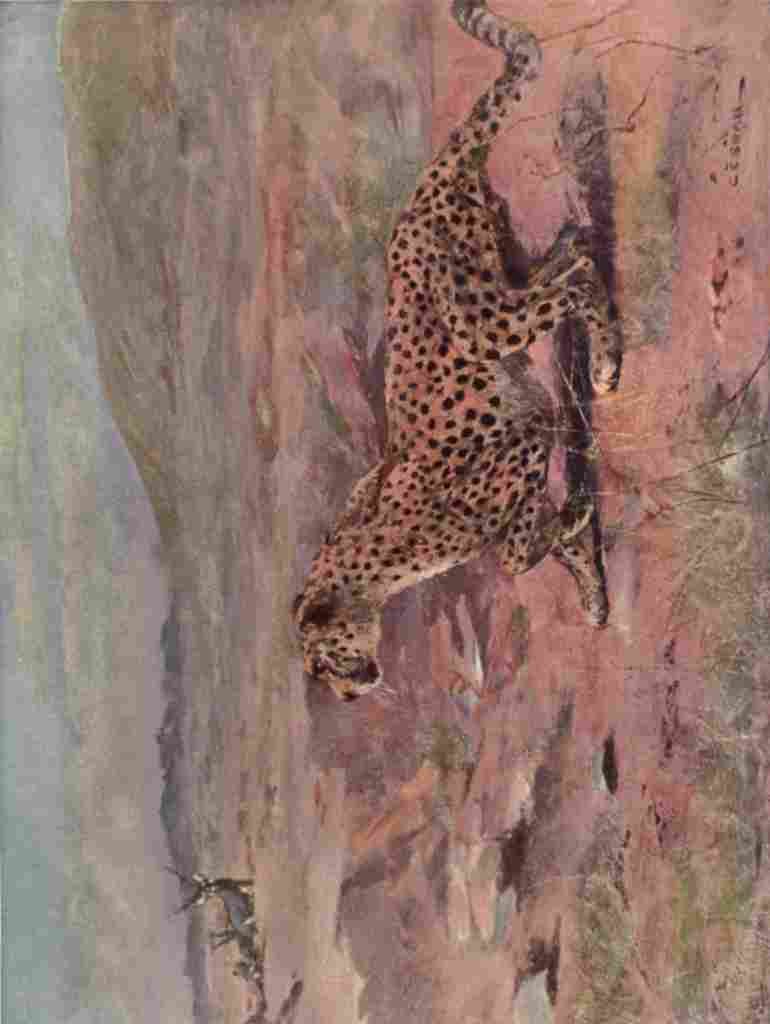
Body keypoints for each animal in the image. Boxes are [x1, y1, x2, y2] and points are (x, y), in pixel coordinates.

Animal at [294, 0, 622, 701]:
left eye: (324, 662)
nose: (350, 693)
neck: (364, 571)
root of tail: (427, 182)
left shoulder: (524, 442)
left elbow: (515, 555)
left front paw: (572, 521)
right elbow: (538, 548)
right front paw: (589, 581)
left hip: (483, 318)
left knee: (575, 279)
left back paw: (608, 364)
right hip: (506, 276)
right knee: (573, 247)